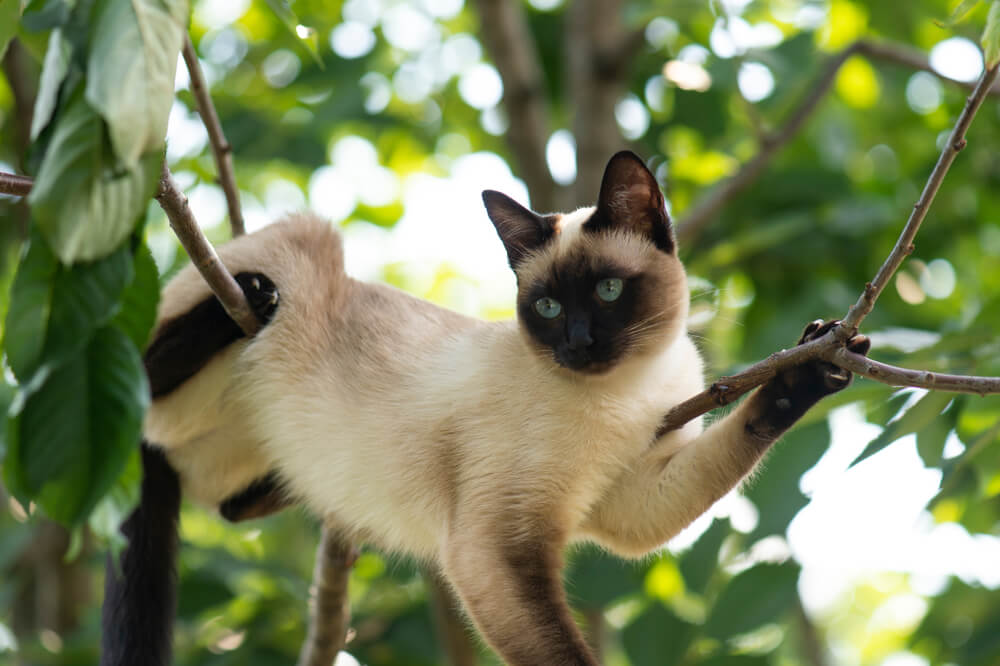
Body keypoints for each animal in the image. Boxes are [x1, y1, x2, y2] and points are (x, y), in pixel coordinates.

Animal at [99, 152, 868, 664]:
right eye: (548, 307)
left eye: (609, 292)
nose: (578, 343)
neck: (626, 392)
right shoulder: (498, 548)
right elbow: (561, 651)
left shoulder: (630, 497)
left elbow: (743, 432)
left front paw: (819, 360)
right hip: (304, 245)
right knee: (134, 377)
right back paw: (252, 302)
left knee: (228, 504)